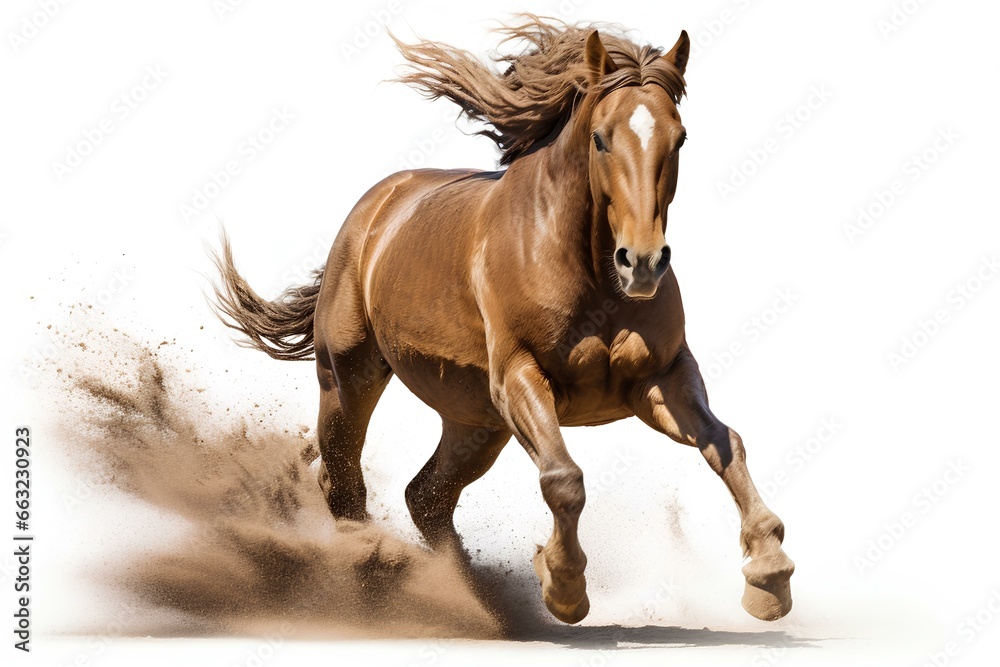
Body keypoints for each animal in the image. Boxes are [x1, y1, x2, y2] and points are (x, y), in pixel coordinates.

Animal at [211, 17, 794, 625]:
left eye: (679, 138)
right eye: (601, 138)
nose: (642, 262)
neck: (587, 273)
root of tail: (372, 210)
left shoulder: (660, 378)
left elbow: (725, 444)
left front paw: (769, 576)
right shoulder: (519, 376)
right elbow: (564, 479)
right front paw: (563, 586)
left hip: (475, 422)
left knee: (426, 496)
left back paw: (474, 597)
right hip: (349, 379)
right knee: (344, 480)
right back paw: (372, 574)